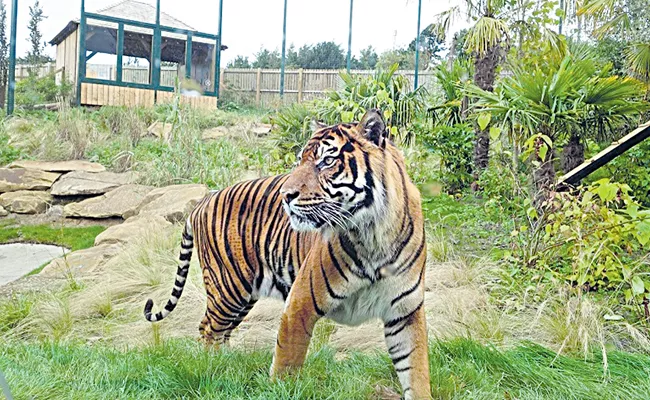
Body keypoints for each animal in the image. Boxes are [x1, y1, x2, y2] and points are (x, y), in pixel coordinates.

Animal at [146, 109, 430, 400]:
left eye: (327, 161)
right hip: (228, 289)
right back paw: (212, 370)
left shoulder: (405, 312)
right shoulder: (300, 303)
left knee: (220, 332)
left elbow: (416, 369)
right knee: (209, 329)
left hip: (243, 297)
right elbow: (287, 362)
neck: (374, 232)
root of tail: (202, 202)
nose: (285, 195)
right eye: (299, 161)